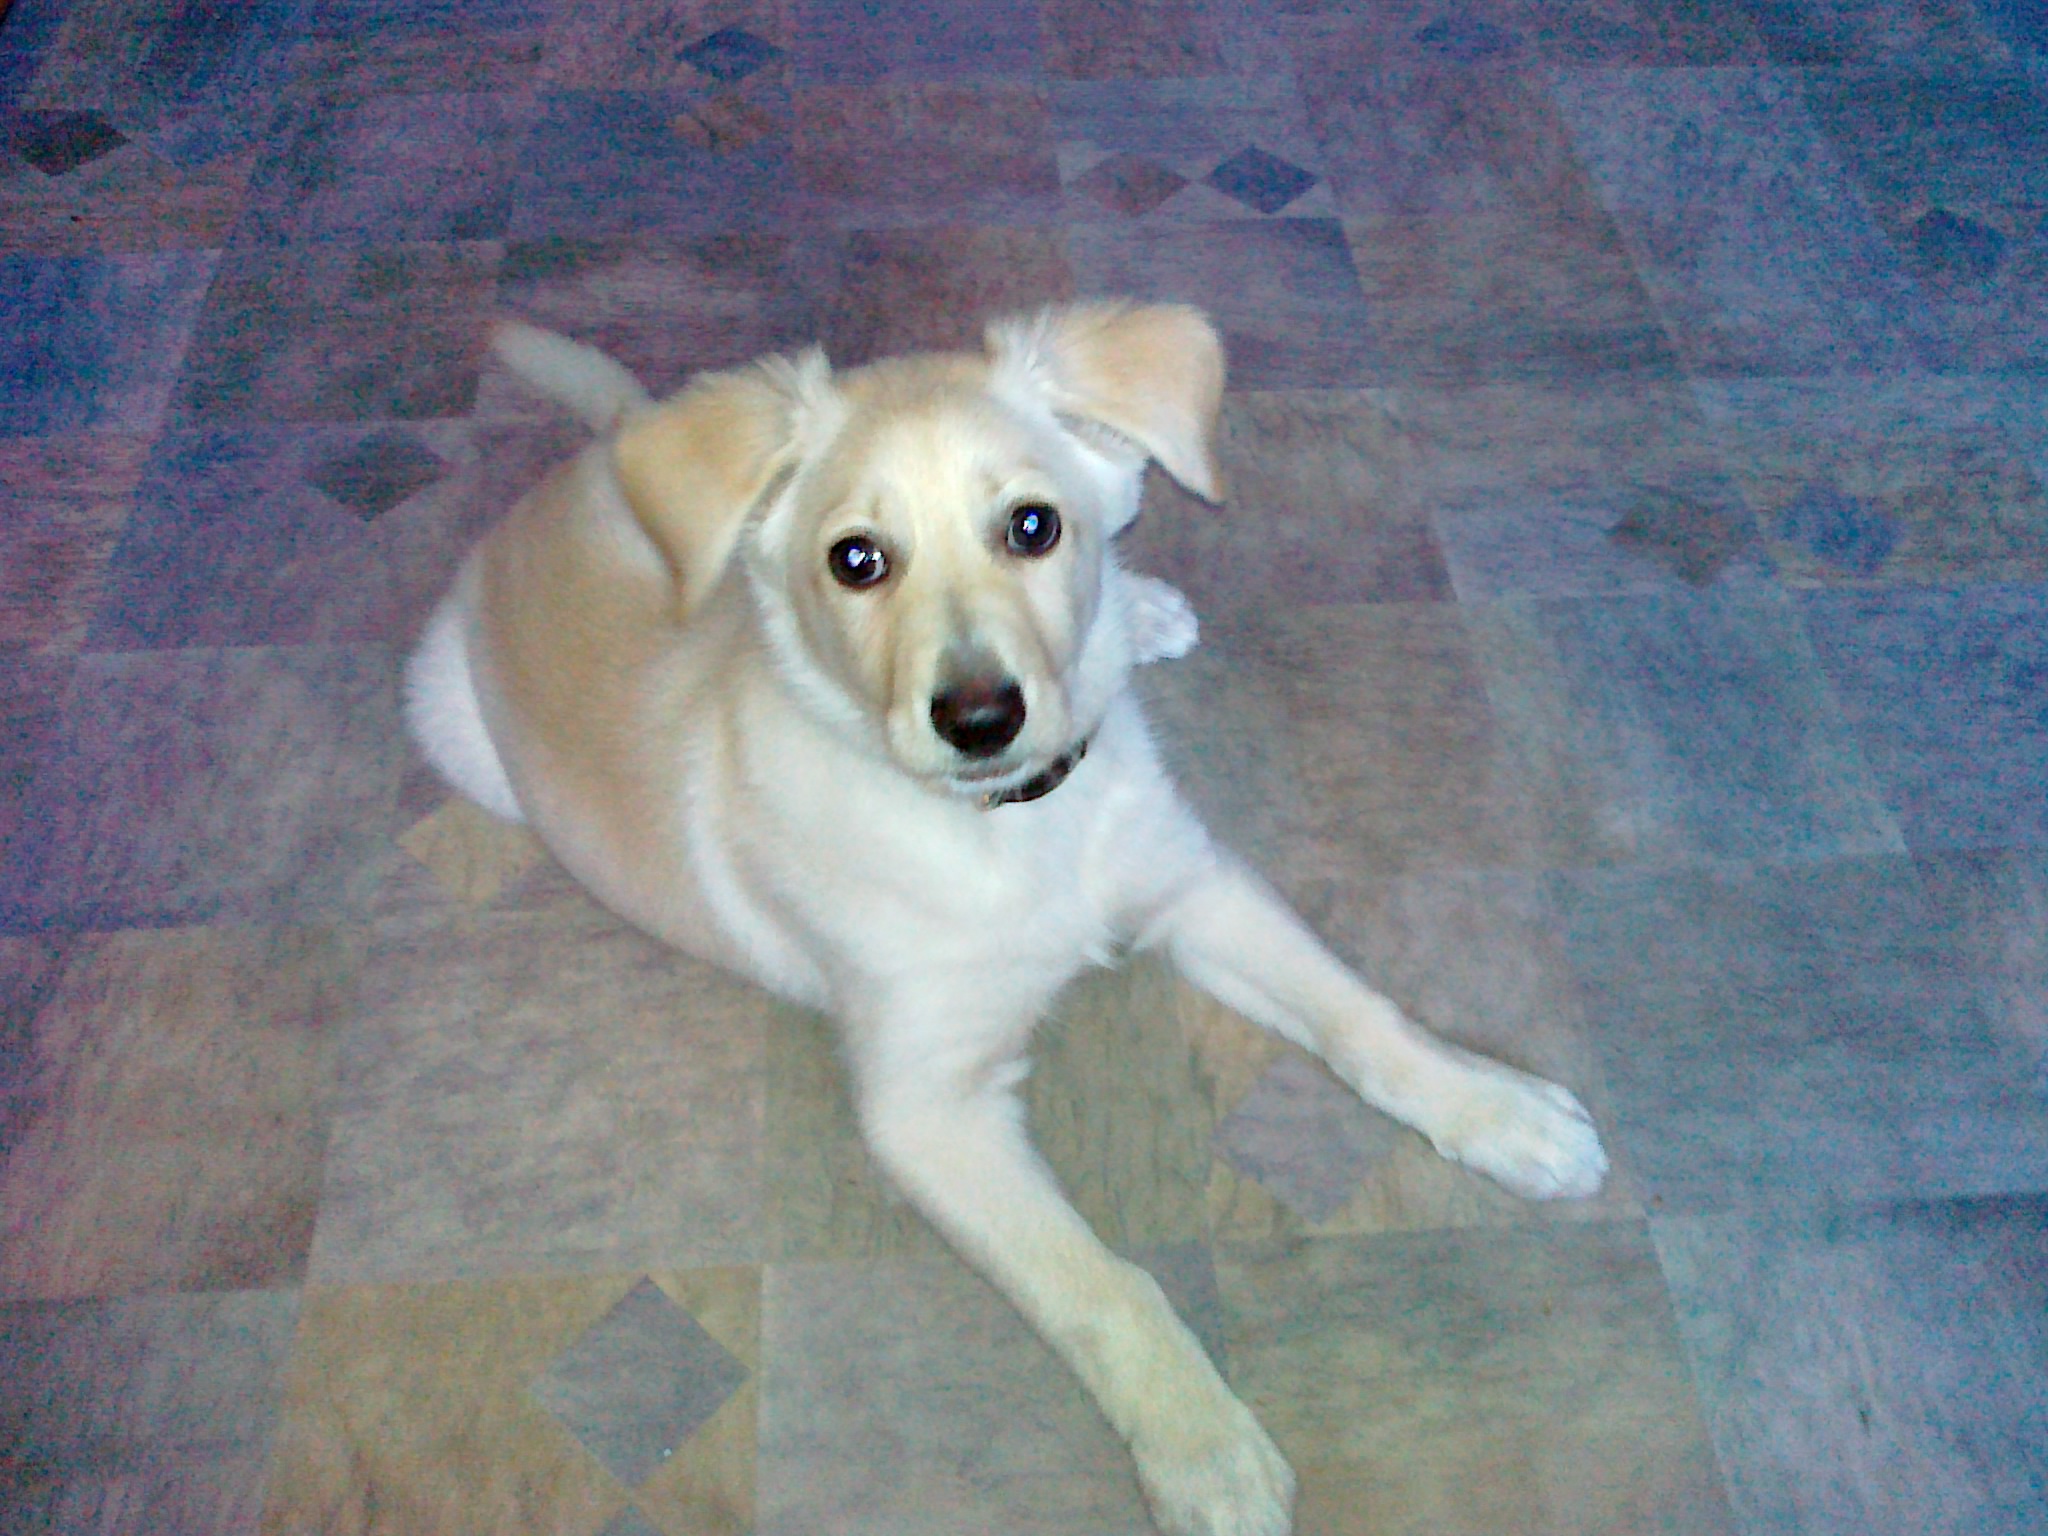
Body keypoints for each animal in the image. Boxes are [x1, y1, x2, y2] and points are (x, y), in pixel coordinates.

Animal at [406, 305, 1609, 1536]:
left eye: (1031, 526)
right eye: (855, 559)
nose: (981, 718)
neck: (1012, 829)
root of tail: (588, 460)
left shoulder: (1190, 881)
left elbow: (1364, 1018)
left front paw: (1499, 1109)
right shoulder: (928, 1108)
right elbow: (1100, 1285)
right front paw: (1202, 1447)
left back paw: (1144, 608)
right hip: (451, 728)